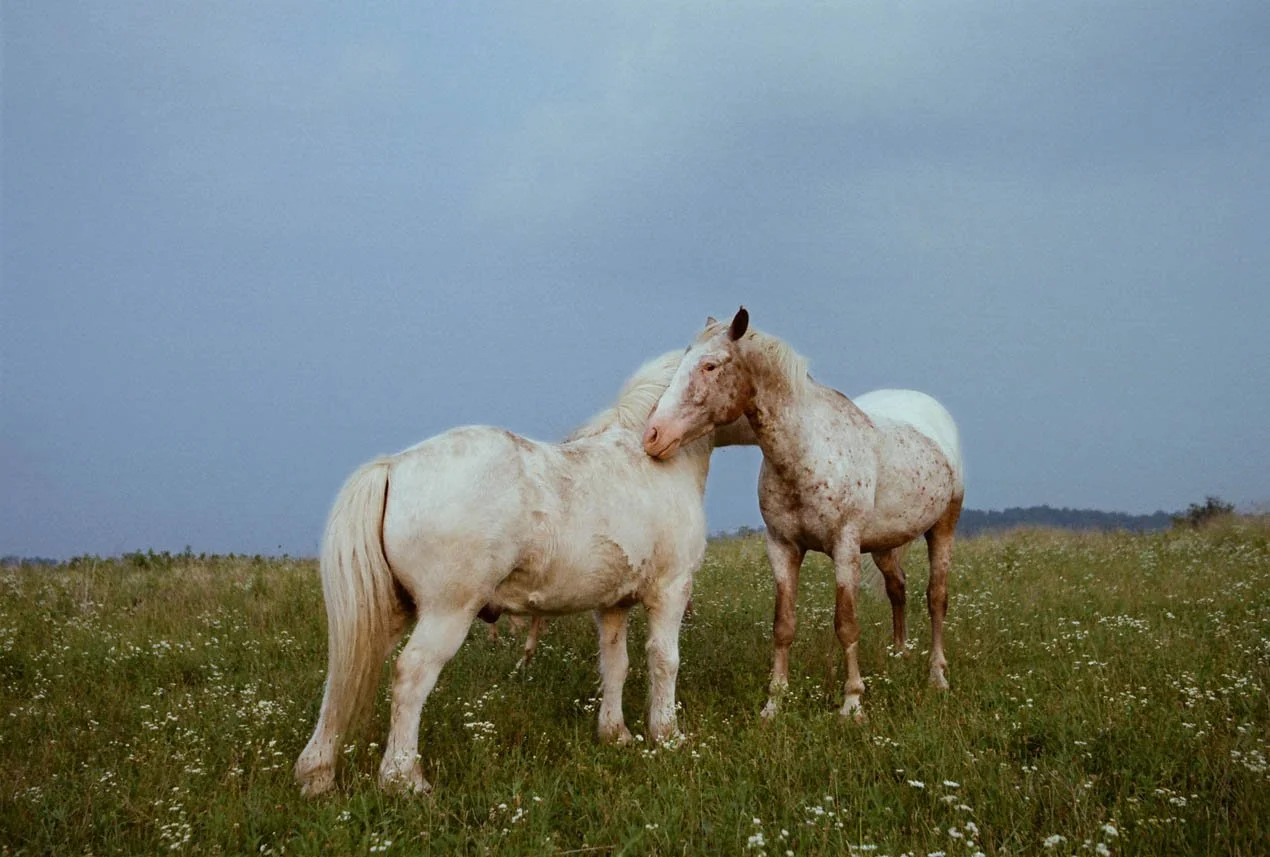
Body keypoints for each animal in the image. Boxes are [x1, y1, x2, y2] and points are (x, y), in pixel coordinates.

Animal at [294, 350, 754, 796]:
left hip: (390, 612)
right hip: (446, 614)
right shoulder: (671, 591)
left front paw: (616, 734)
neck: (652, 458)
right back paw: (404, 780)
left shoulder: (613, 605)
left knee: (342, 676)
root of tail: (394, 465)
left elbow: (615, 664)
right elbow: (665, 660)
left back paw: (317, 775)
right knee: (411, 676)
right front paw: (667, 736)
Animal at [642, 308, 964, 721]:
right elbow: (783, 626)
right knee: (899, 588)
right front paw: (773, 703)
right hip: (883, 545)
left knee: (936, 597)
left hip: (943, 527)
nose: (653, 435)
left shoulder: (845, 548)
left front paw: (852, 703)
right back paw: (899, 656)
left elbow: (846, 623)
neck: (806, 451)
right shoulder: (782, 548)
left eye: (710, 365)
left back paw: (937, 677)